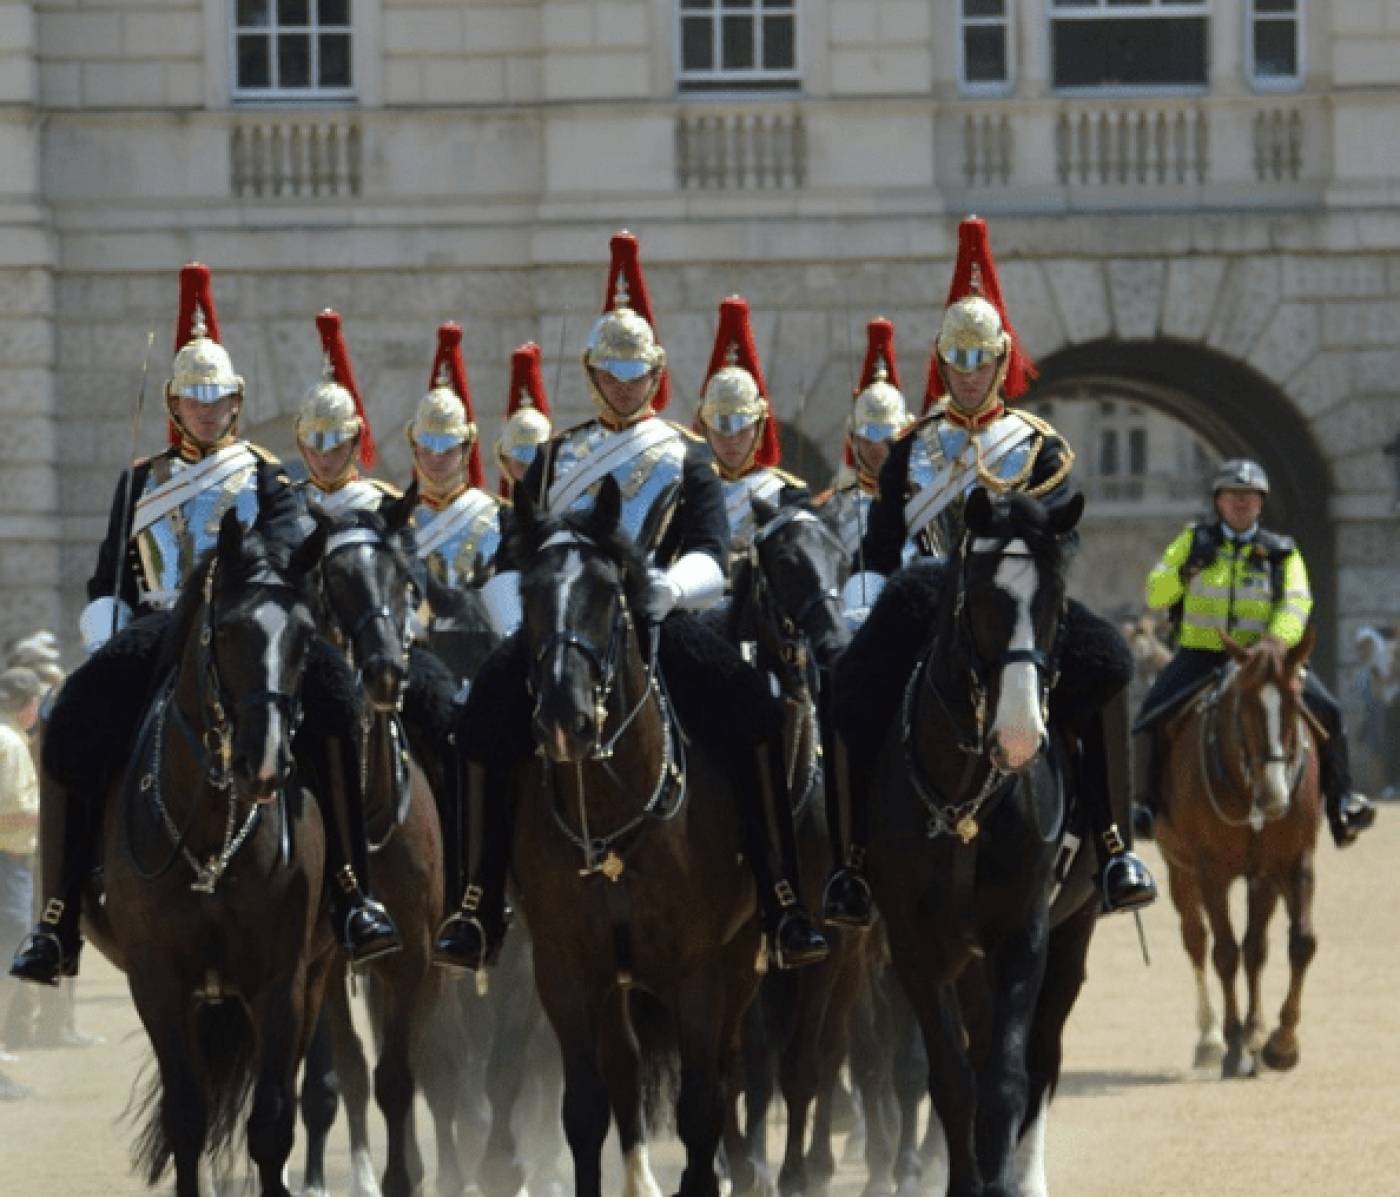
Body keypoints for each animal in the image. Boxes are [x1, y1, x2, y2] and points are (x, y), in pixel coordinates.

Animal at [845, 490, 1086, 1197]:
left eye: (1057, 601)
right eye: (980, 599)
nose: (1019, 738)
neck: (965, 801)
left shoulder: (1024, 934)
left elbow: (1005, 1078)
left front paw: (1001, 1181)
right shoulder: (914, 948)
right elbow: (952, 1078)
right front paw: (964, 1179)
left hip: (1073, 931)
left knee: (1042, 1056)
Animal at [1148, 632, 1321, 1080]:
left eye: (1296, 703)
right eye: (1243, 706)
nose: (1275, 796)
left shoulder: (1291, 863)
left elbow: (1297, 943)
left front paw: (1279, 1043)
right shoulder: (1211, 871)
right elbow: (1224, 953)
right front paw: (1232, 1046)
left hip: (1262, 878)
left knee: (1255, 948)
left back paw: (1255, 1035)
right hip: (1180, 869)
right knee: (1197, 940)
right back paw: (1210, 1038)